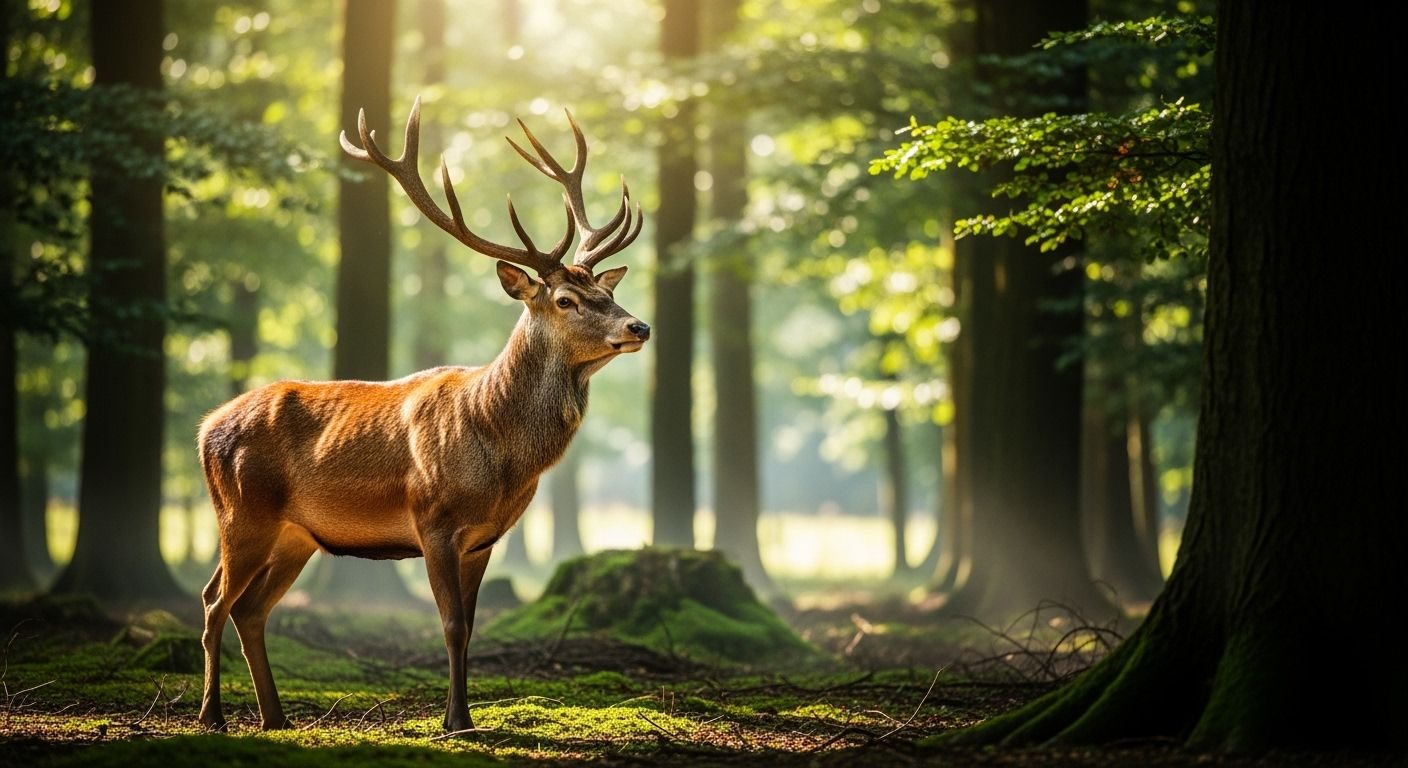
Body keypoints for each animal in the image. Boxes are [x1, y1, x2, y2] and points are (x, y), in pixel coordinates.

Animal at [196, 97, 649, 736]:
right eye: (565, 300)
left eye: (606, 293)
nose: (639, 326)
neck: (499, 452)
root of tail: (205, 426)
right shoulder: (432, 519)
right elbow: (452, 625)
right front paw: (455, 720)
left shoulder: (486, 538)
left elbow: (472, 627)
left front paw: (465, 716)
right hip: (241, 511)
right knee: (215, 600)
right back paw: (213, 715)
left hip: (295, 535)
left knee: (252, 610)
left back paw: (276, 718)